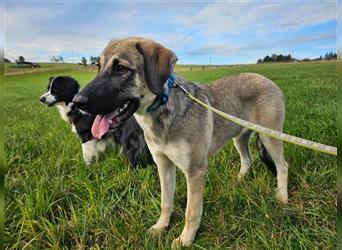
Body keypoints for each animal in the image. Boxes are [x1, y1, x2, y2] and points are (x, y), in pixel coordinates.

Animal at [73, 37, 288, 246]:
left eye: (121, 68)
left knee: (283, 165)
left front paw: (185, 239)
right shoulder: (164, 165)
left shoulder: (195, 171)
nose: (77, 102)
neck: (162, 111)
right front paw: (160, 227)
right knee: (247, 160)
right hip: (239, 137)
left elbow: (191, 212)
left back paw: (282, 197)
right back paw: (239, 181)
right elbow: (165, 202)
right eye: (98, 66)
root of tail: (270, 81)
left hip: (270, 137)